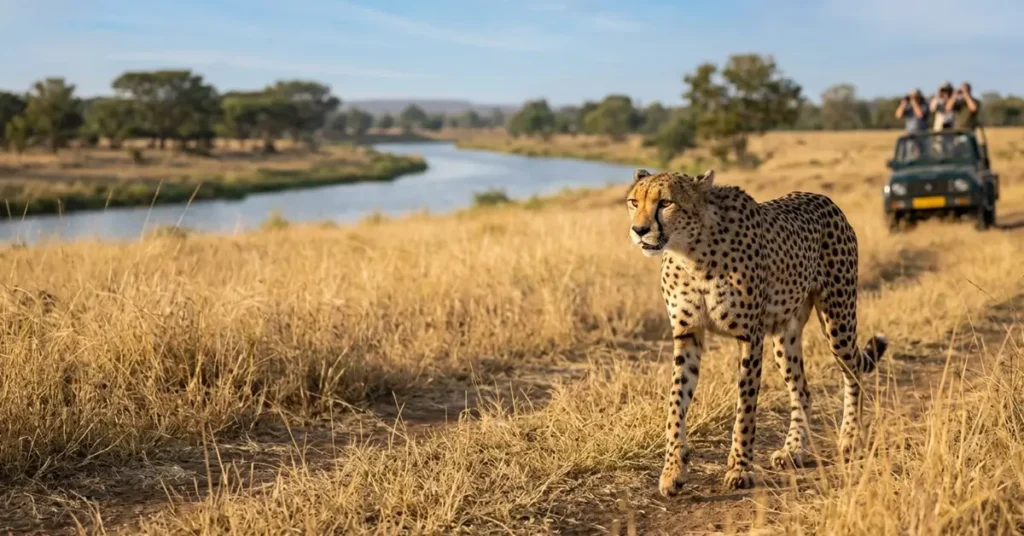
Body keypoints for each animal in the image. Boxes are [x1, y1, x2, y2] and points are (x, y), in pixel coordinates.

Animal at [625, 168, 888, 496]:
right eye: (634, 202)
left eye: (665, 203)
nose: (639, 230)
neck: (690, 253)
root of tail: (824, 199)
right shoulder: (688, 334)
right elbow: (676, 402)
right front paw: (673, 470)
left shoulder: (749, 336)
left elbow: (745, 407)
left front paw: (740, 468)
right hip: (784, 336)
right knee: (802, 389)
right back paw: (793, 449)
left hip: (838, 319)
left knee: (853, 374)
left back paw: (850, 437)